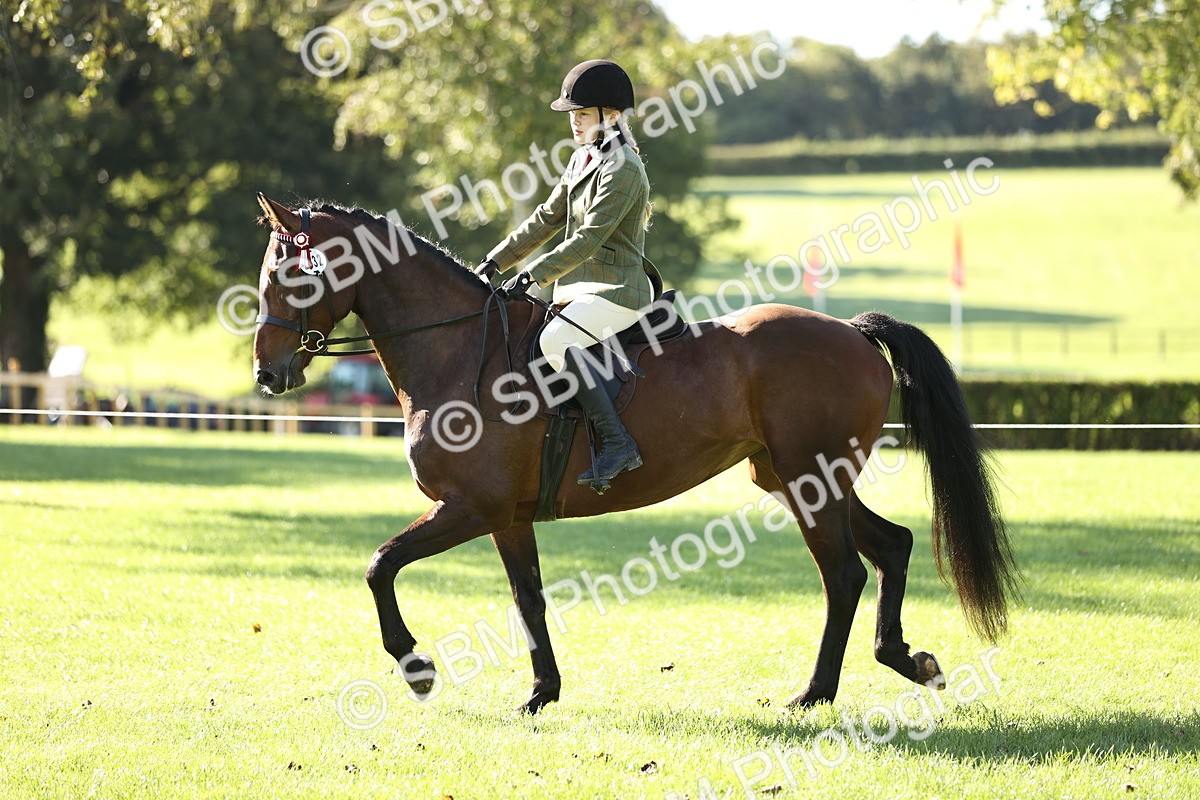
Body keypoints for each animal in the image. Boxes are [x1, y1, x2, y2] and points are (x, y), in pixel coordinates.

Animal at [250, 194, 1019, 714]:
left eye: (289, 277)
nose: (267, 372)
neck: (460, 349)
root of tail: (853, 332)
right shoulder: (507, 517)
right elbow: (528, 597)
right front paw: (541, 693)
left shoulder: (470, 507)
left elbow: (380, 565)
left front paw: (417, 669)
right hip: (791, 476)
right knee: (890, 547)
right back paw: (907, 661)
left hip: (810, 480)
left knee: (845, 574)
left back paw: (815, 693)